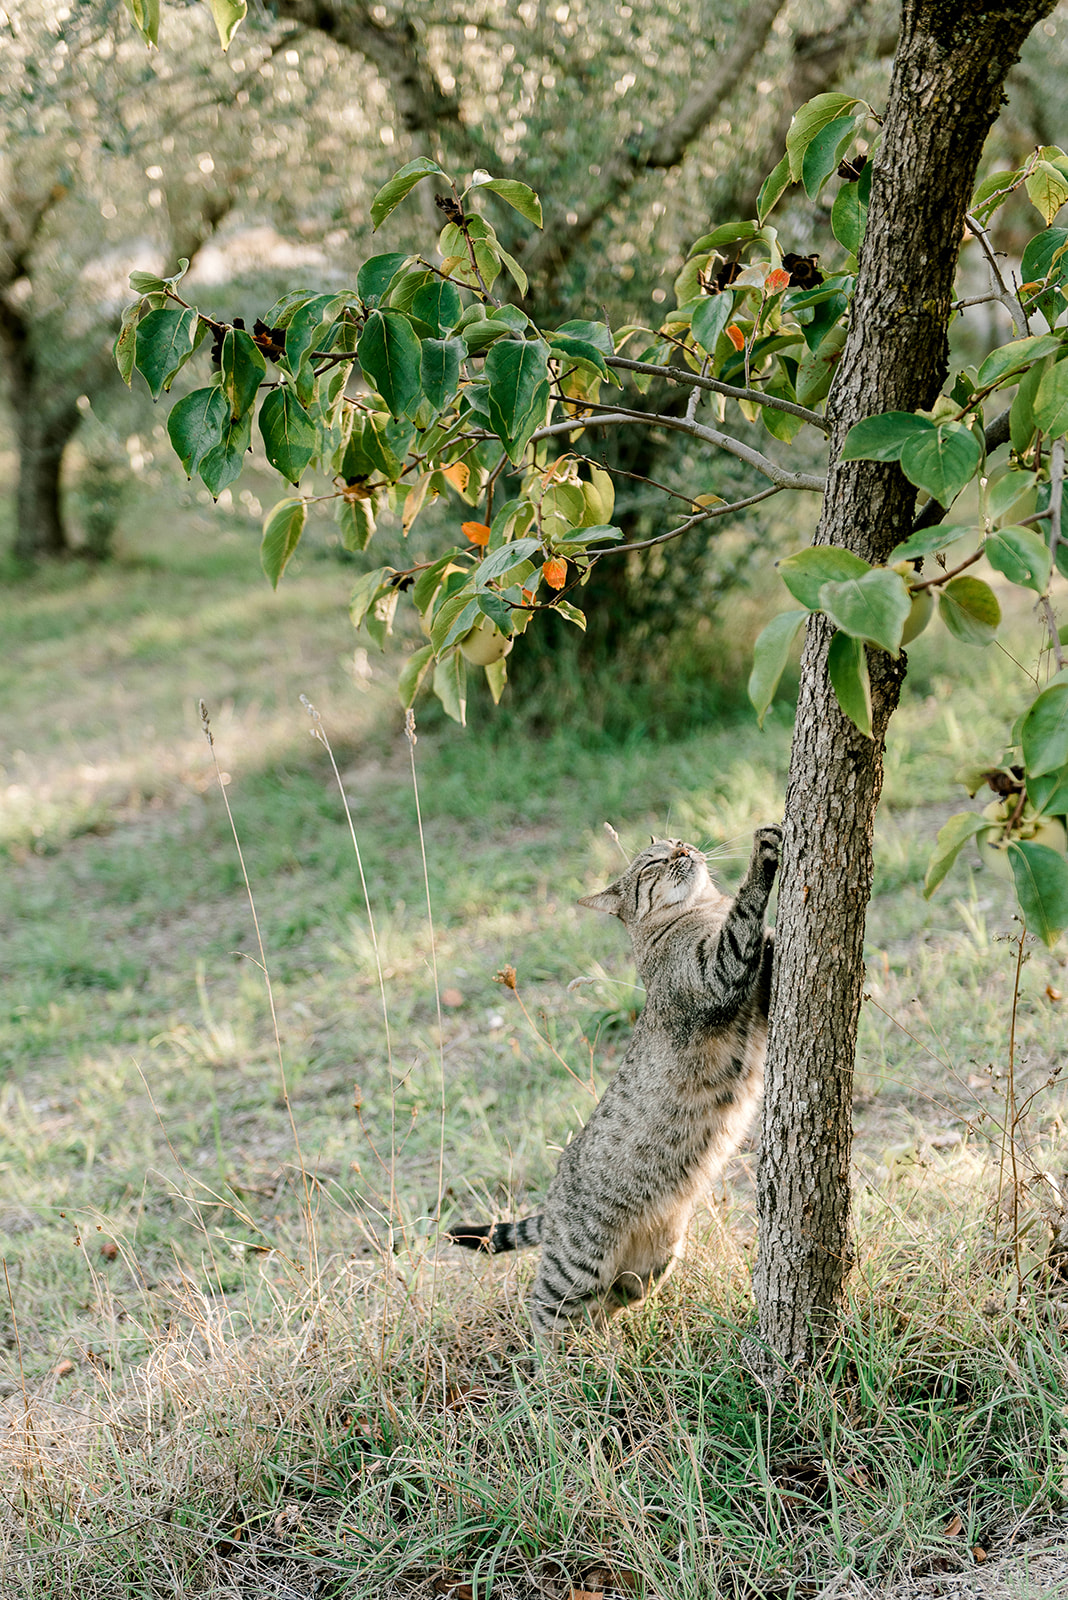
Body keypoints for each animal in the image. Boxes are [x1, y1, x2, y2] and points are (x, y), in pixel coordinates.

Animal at [447, 825, 780, 1337]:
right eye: (653, 863)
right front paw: (763, 853)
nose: (684, 850)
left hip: (650, 1265)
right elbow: (744, 915)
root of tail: (552, 1195)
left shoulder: (755, 999)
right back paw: (557, 1359)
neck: (694, 912)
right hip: (572, 1269)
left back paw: (604, 1350)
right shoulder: (715, 973)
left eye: (678, 842)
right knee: (543, 1313)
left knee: (605, 1306)